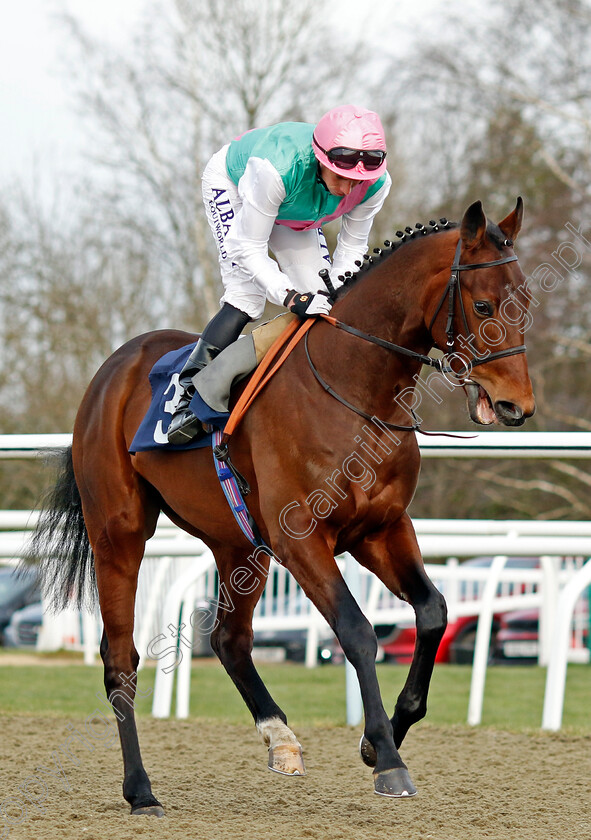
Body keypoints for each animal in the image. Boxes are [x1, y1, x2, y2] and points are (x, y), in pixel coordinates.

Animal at [30, 197, 536, 812]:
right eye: (483, 304)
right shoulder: (301, 539)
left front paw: (383, 737)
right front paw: (388, 758)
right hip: (119, 531)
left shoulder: (382, 529)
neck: (353, 387)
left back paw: (280, 738)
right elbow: (357, 631)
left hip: (239, 544)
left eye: (525, 302)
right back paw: (140, 789)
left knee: (229, 639)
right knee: (120, 658)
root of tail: (112, 368)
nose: (516, 405)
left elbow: (433, 611)